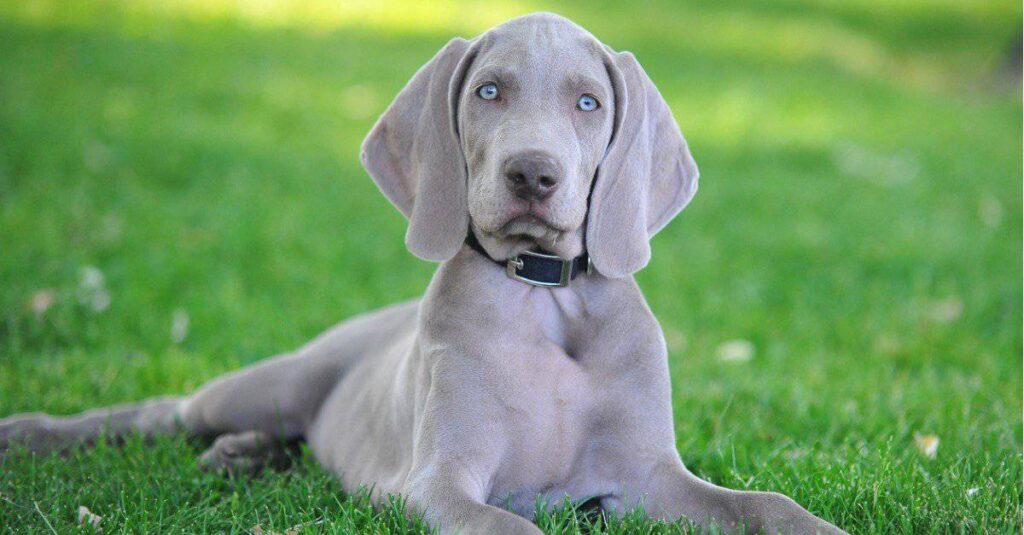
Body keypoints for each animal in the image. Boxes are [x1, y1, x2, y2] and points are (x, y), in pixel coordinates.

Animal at [2, 12, 847, 532]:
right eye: (488, 91)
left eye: (588, 102)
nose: (532, 174)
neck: (545, 299)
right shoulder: (441, 480)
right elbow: (510, 523)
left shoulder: (648, 477)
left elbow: (768, 502)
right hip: (274, 380)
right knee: (161, 411)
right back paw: (36, 432)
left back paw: (242, 456)